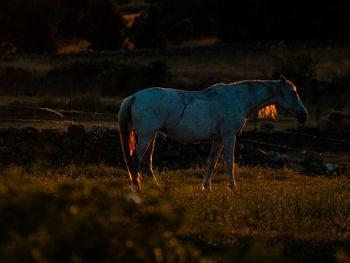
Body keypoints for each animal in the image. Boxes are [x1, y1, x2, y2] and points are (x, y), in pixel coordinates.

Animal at [119, 75, 308, 191]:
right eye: (293, 92)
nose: (304, 115)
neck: (238, 99)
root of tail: (134, 97)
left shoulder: (218, 139)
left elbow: (212, 162)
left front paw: (207, 187)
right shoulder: (229, 136)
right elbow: (230, 162)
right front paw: (233, 187)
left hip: (151, 136)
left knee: (146, 161)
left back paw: (156, 187)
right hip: (145, 136)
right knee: (135, 158)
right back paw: (136, 187)